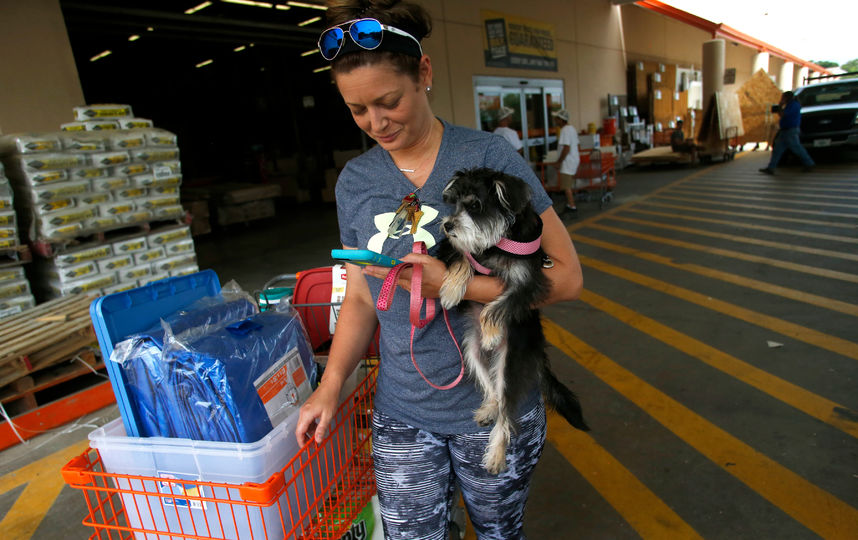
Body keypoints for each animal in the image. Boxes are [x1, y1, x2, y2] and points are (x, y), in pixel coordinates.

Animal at [434, 168, 588, 472]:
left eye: (474, 205)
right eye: (454, 203)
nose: (447, 225)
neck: (498, 242)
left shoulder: (529, 282)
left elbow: (498, 305)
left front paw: (492, 331)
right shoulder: (453, 249)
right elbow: (462, 257)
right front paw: (452, 290)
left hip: (511, 362)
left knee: (506, 407)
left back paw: (496, 452)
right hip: (471, 352)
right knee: (491, 387)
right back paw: (489, 407)